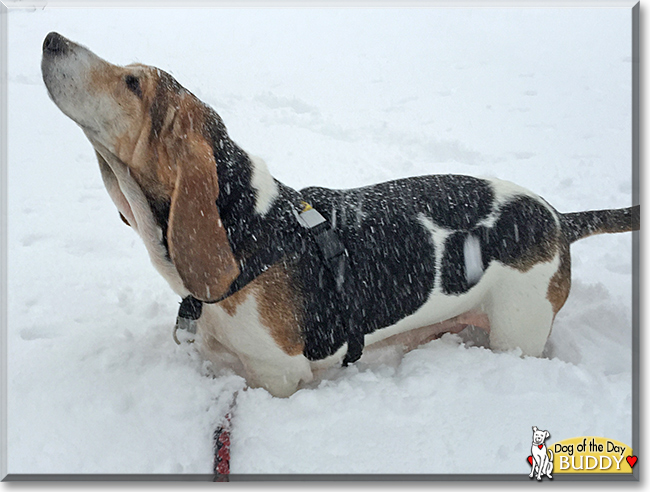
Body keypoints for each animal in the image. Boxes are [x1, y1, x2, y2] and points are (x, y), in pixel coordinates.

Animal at [41, 33, 636, 396]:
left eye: (132, 82)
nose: (51, 39)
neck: (243, 227)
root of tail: (558, 218)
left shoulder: (279, 376)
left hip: (518, 330)